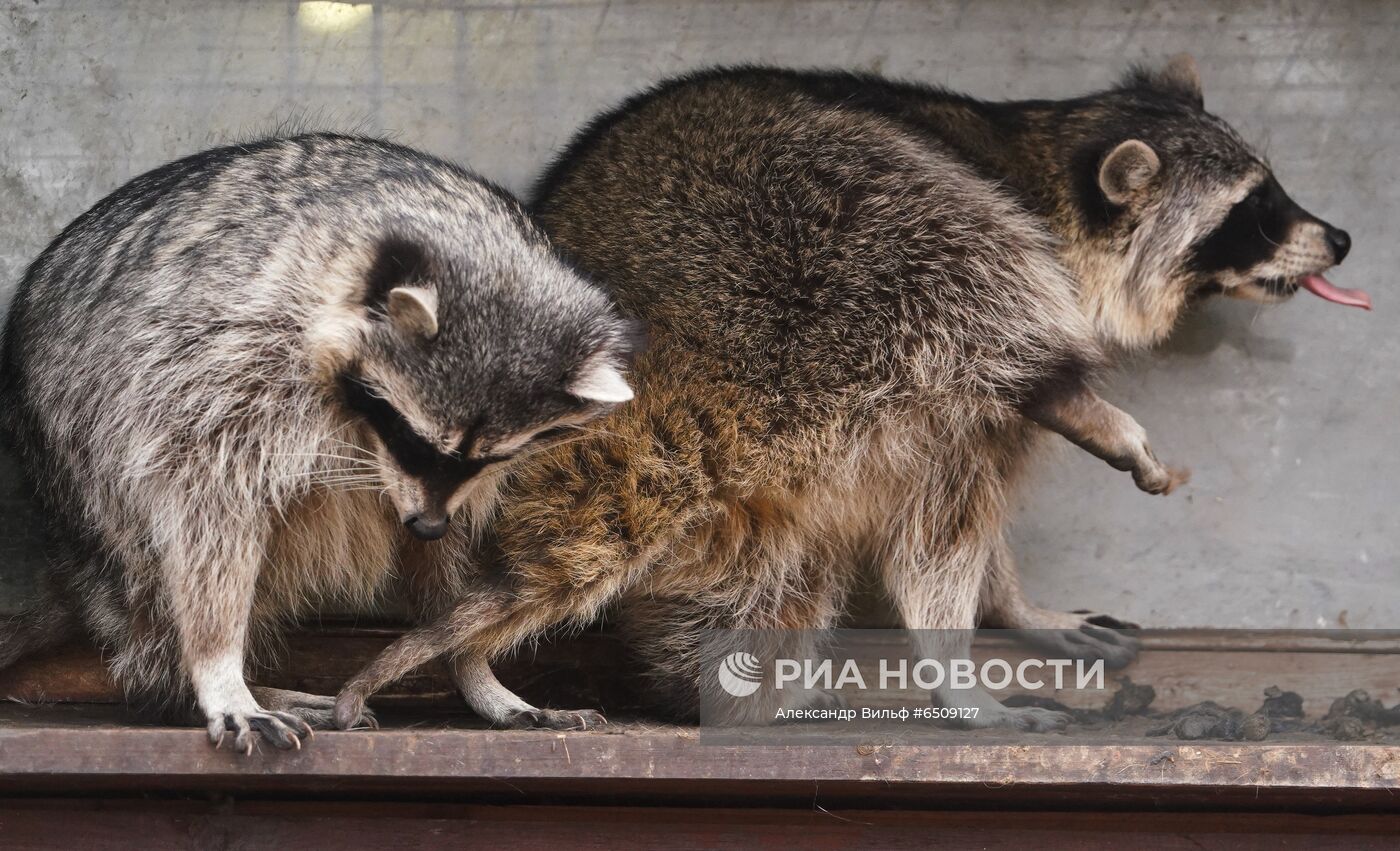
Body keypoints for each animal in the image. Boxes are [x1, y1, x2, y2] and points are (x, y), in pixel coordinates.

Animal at [0, 132, 635, 750]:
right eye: (414, 440)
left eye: (491, 457)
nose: (427, 523)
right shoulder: (225, 355)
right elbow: (206, 503)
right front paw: (217, 666)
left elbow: (450, 555)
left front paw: (468, 662)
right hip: (81, 461)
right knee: (156, 567)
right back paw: (188, 682)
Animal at [333, 54, 1360, 733]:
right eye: (1256, 209)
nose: (1343, 237)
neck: (1043, 156)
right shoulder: (966, 319)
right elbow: (961, 502)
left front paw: (1014, 603)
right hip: (802, 248)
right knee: (958, 239)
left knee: (768, 583)